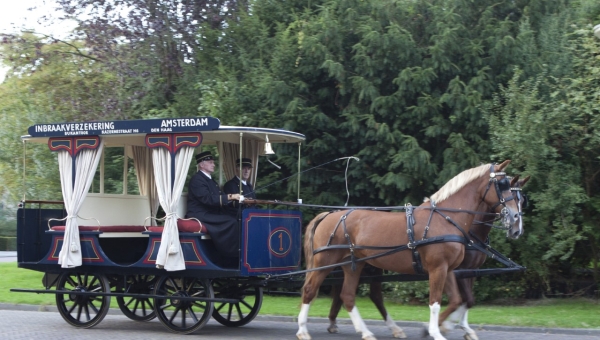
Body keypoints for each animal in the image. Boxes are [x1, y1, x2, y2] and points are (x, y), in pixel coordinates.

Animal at [298, 161, 524, 340]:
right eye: (502, 185)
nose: (515, 220)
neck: (447, 219)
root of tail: (330, 215)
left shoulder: (450, 269)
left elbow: (457, 301)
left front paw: (438, 328)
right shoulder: (438, 269)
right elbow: (436, 302)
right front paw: (435, 332)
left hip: (353, 265)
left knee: (347, 296)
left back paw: (367, 332)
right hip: (325, 262)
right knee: (310, 290)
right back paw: (302, 330)